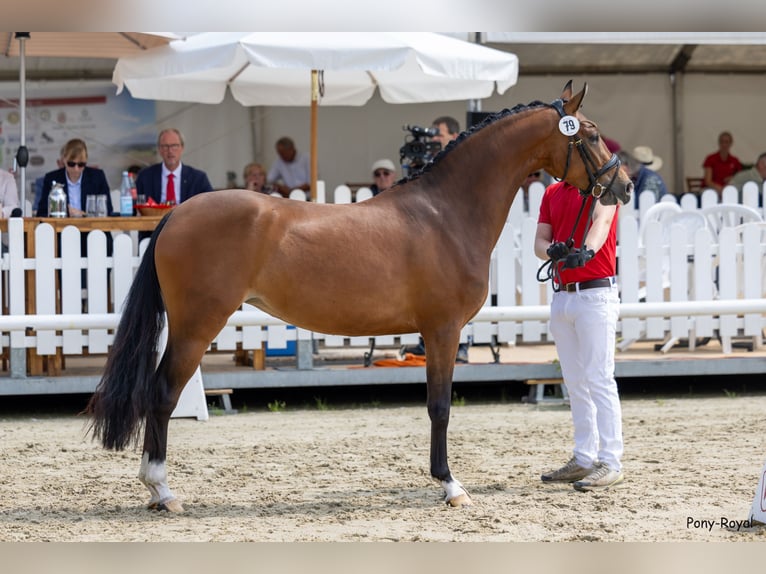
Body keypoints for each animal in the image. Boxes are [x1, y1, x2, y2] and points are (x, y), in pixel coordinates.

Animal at [85, 81, 636, 512]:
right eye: (589, 134)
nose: (625, 187)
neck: (446, 212)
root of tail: (177, 213)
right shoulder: (442, 330)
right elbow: (440, 407)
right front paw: (450, 485)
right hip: (197, 325)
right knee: (162, 393)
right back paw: (162, 491)